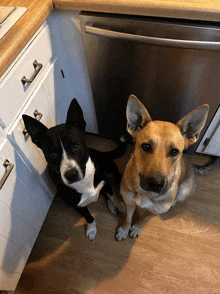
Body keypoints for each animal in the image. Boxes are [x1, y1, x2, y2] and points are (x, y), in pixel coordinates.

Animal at [22, 99, 126, 241]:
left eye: (76, 146)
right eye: (53, 154)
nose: (71, 175)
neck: (84, 181)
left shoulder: (104, 181)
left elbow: (113, 195)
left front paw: (120, 205)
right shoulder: (76, 205)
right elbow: (89, 217)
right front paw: (91, 229)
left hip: (109, 166)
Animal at [116, 94, 219, 241]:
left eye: (174, 151)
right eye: (146, 146)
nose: (155, 184)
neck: (146, 194)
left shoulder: (153, 212)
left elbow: (143, 220)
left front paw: (136, 228)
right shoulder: (128, 202)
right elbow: (128, 218)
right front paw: (125, 229)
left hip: (184, 190)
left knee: (178, 197)